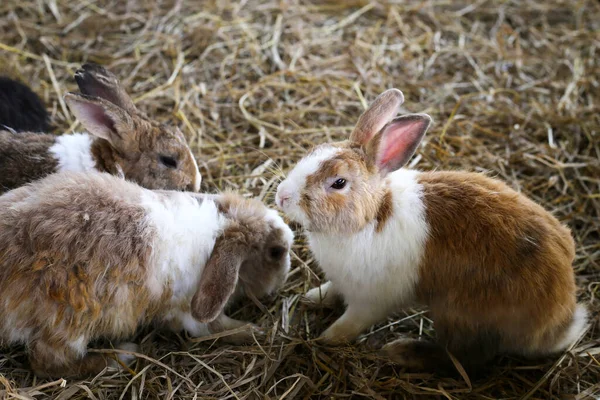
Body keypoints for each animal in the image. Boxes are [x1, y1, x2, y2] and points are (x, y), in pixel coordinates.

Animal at [0, 170, 292, 376]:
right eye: (276, 252)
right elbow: (215, 328)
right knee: (48, 364)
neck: (217, 233)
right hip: (69, 321)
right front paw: (257, 332)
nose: (284, 275)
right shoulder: (187, 310)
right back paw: (123, 355)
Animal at [276, 89, 584, 374]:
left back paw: (402, 351)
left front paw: (327, 338)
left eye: (338, 183)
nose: (281, 196)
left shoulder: (371, 300)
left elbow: (352, 322)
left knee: (464, 357)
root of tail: (560, 319)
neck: (370, 216)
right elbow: (332, 290)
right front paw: (313, 297)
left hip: (459, 314)